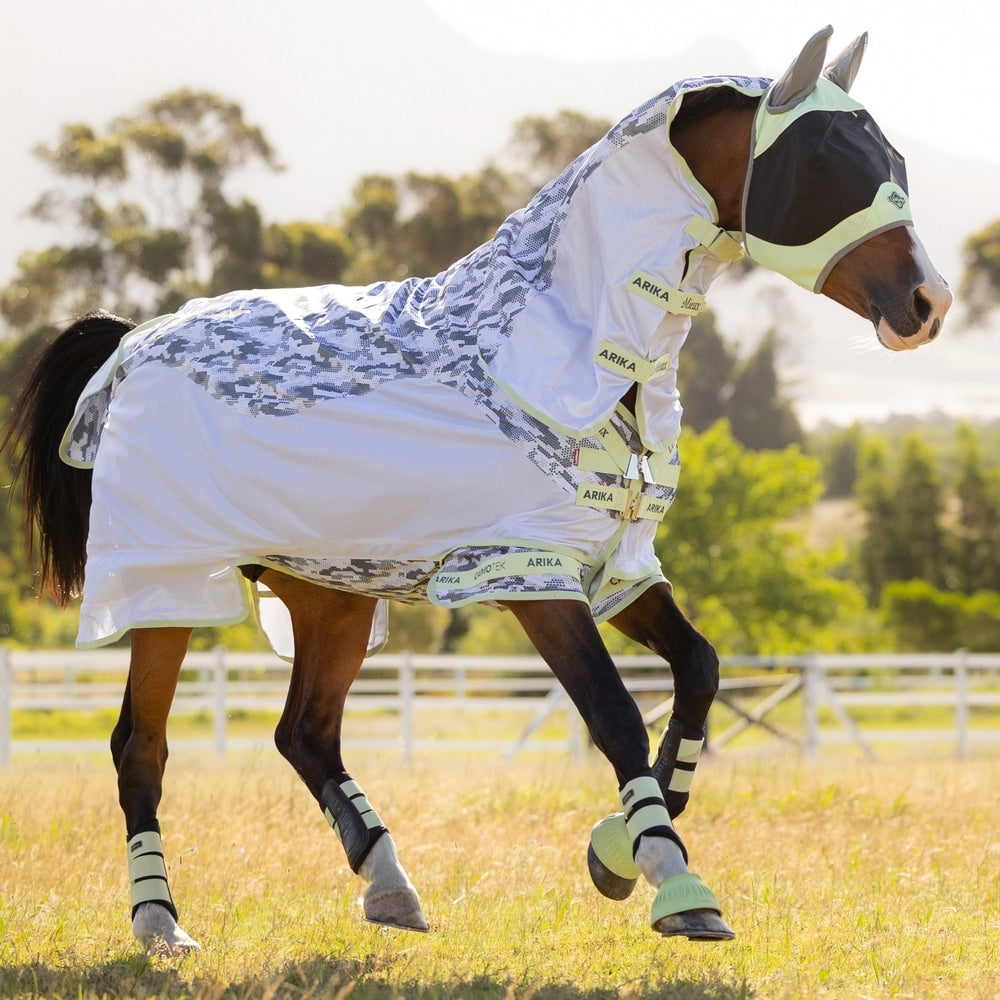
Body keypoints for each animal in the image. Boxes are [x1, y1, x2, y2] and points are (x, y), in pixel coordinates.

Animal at [3, 26, 951, 956]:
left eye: (893, 156)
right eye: (824, 158)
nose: (927, 303)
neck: (565, 351)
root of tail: (134, 340)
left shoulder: (612, 567)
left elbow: (699, 671)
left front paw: (616, 852)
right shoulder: (528, 574)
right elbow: (614, 714)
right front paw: (675, 884)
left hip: (332, 595)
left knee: (305, 733)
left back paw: (388, 884)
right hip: (166, 589)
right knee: (142, 747)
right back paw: (160, 924)